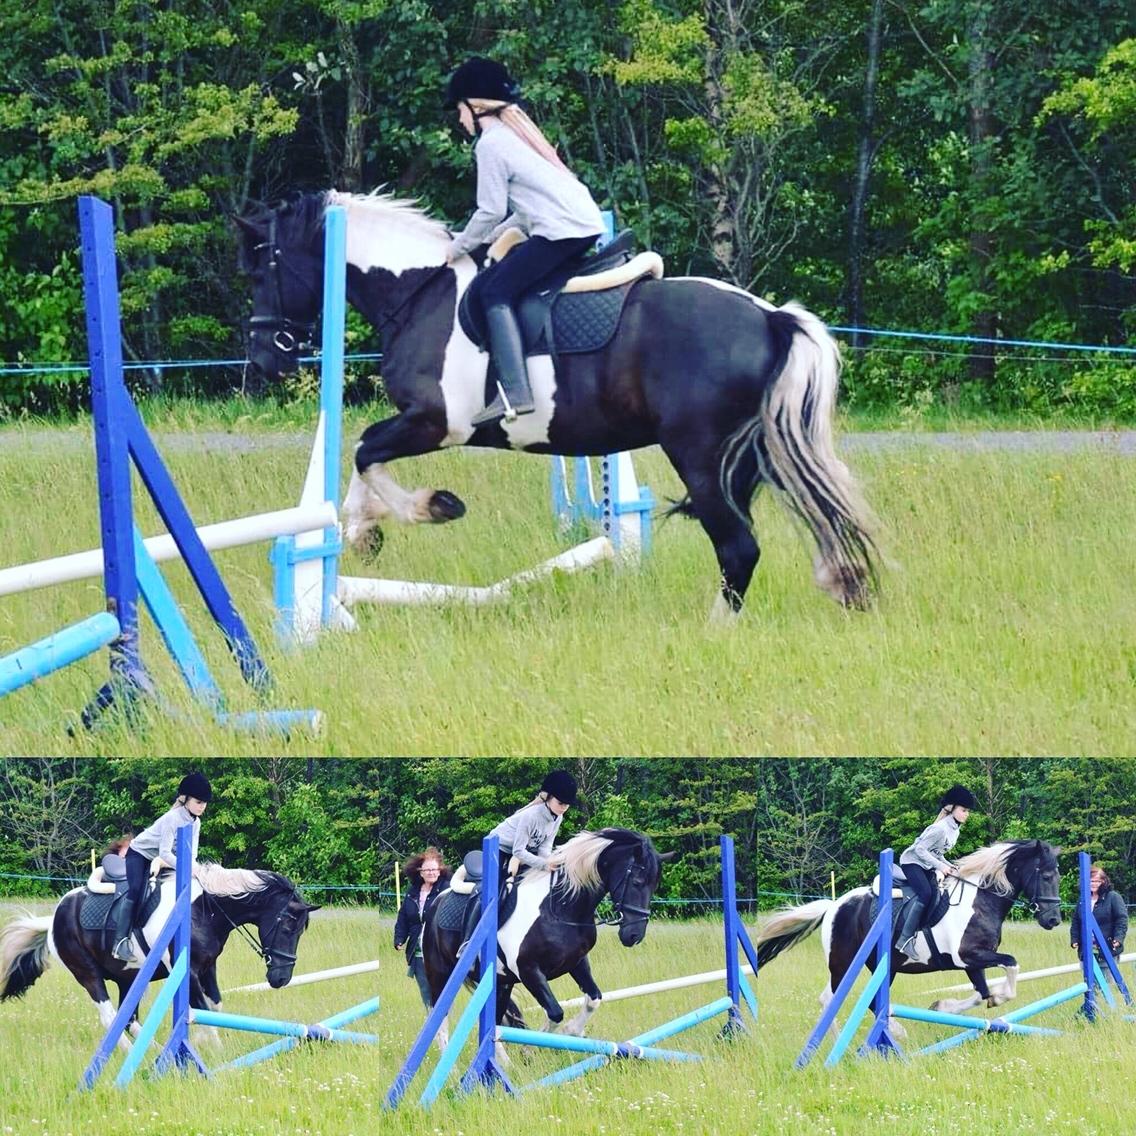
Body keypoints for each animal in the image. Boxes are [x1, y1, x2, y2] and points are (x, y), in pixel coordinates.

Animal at [0, 858, 315, 1045]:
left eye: (301, 931)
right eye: (288, 927)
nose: (281, 979)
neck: (204, 910)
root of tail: (53, 918)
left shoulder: (208, 967)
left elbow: (214, 1007)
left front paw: (199, 1043)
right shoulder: (188, 971)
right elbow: (201, 1009)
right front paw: (213, 1048)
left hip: (128, 979)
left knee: (130, 1020)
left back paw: (153, 1049)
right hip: (88, 974)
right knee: (110, 1018)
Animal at [239, 190, 876, 617]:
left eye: (258, 274)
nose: (266, 360)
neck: (421, 291)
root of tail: (769, 317)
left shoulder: (435, 423)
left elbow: (364, 450)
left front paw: (425, 510)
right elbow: (361, 458)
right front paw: (363, 531)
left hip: (700, 455)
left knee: (738, 547)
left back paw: (716, 630)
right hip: (755, 452)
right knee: (814, 516)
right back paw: (845, 586)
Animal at [754, 840, 1063, 1026]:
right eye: (1047, 876)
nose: (1054, 920)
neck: (980, 899)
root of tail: (833, 906)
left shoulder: (971, 962)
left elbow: (981, 993)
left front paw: (943, 1006)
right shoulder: (969, 956)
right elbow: (1011, 965)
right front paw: (998, 996)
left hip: (883, 967)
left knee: (869, 1001)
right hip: (843, 964)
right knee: (832, 1000)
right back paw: (890, 1031)